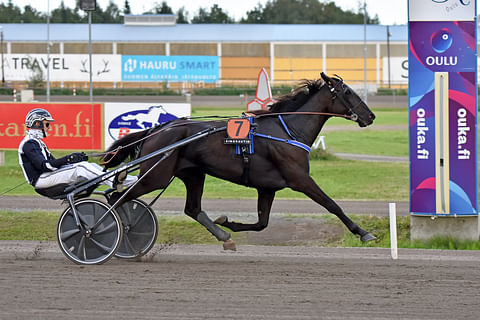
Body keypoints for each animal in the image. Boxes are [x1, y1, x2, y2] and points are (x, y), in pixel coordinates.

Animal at [103, 72, 376, 250]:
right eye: (348, 92)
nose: (371, 116)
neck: (287, 131)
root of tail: (157, 129)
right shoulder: (299, 179)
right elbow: (332, 205)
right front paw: (363, 233)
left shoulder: (267, 187)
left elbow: (262, 223)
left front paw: (228, 223)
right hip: (156, 177)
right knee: (116, 198)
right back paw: (111, 231)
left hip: (193, 173)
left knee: (191, 208)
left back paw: (223, 236)